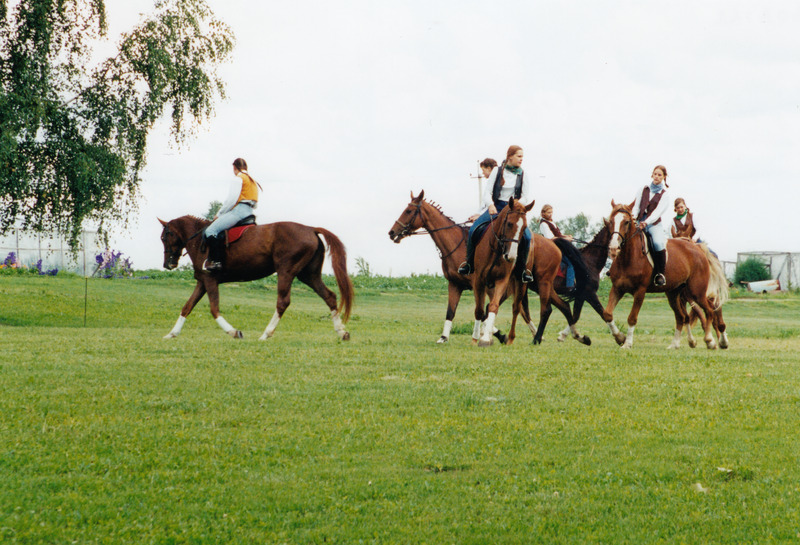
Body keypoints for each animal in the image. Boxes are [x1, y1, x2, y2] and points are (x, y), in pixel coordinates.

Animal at [159, 216, 354, 340]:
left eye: (165, 237)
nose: (167, 264)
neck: (201, 240)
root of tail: (311, 229)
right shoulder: (202, 282)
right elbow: (187, 307)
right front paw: (172, 333)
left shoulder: (210, 280)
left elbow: (214, 309)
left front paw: (234, 332)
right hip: (309, 275)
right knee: (330, 296)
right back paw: (341, 332)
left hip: (286, 272)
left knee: (283, 302)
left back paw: (266, 334)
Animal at [388, 191, 506, 344]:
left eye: (408, 211)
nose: (391, 232)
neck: (456, 246)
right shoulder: (454, 284)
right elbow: (451, 311)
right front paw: (443, 337)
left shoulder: (479, 286)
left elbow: (482, 312)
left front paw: (496, 335)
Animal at [472, 198, 536, 346]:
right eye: (509, 224)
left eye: (524, 227)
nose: (511, 256)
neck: (496, 249)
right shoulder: (478, 280)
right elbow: (479, 310)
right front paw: (476, 338)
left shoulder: (502, 280)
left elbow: (493, 306)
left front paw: (485, 339)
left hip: (520, 282)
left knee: (516, 308)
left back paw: (511, 338)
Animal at [600, 201, 724, 348]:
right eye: (611, 221)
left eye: (626, 222)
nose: (613, 248)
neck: (628, 258)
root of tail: (697, 249)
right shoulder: (617, 288)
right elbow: (607, 314)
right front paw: (619, 338)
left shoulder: (640, 292)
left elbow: (632, 318)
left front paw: (627, 343)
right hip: (674, 294)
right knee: (682, 317)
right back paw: (675, 344)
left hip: (696, 292)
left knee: (710, 310)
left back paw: (711, 341)